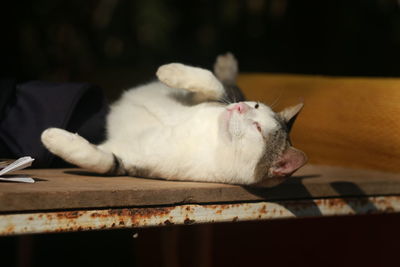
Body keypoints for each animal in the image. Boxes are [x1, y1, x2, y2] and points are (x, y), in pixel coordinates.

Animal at [42, 53, 306, 185]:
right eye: (256, 105)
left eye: (258, 128)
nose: (240, 107)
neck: (209, 138)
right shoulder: (209, 98)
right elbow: (213, 82)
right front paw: (170, 71)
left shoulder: (133, 164)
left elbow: (105, 162)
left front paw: (55, 139)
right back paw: (225, 64)